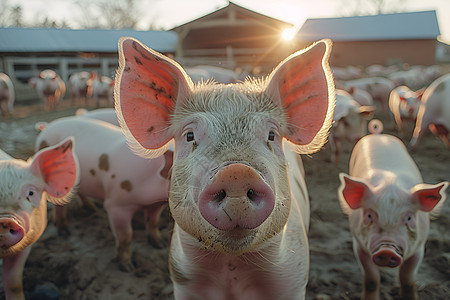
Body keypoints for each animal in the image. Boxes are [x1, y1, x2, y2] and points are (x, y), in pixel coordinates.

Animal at [34, 116, 172, 272]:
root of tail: (47, 127)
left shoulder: (155, 205)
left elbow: (153, 223)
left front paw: (160, 244)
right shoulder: (116, 205)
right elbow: (126, 236)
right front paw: (128, 267)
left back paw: (92, 209)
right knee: (57, 204)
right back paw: (64, 232)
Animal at [114, 37, 336, 300]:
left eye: (271, 135)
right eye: (189, 135)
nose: (237, 173)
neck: (231, 268)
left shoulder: (293, 279)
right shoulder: (183, 279)